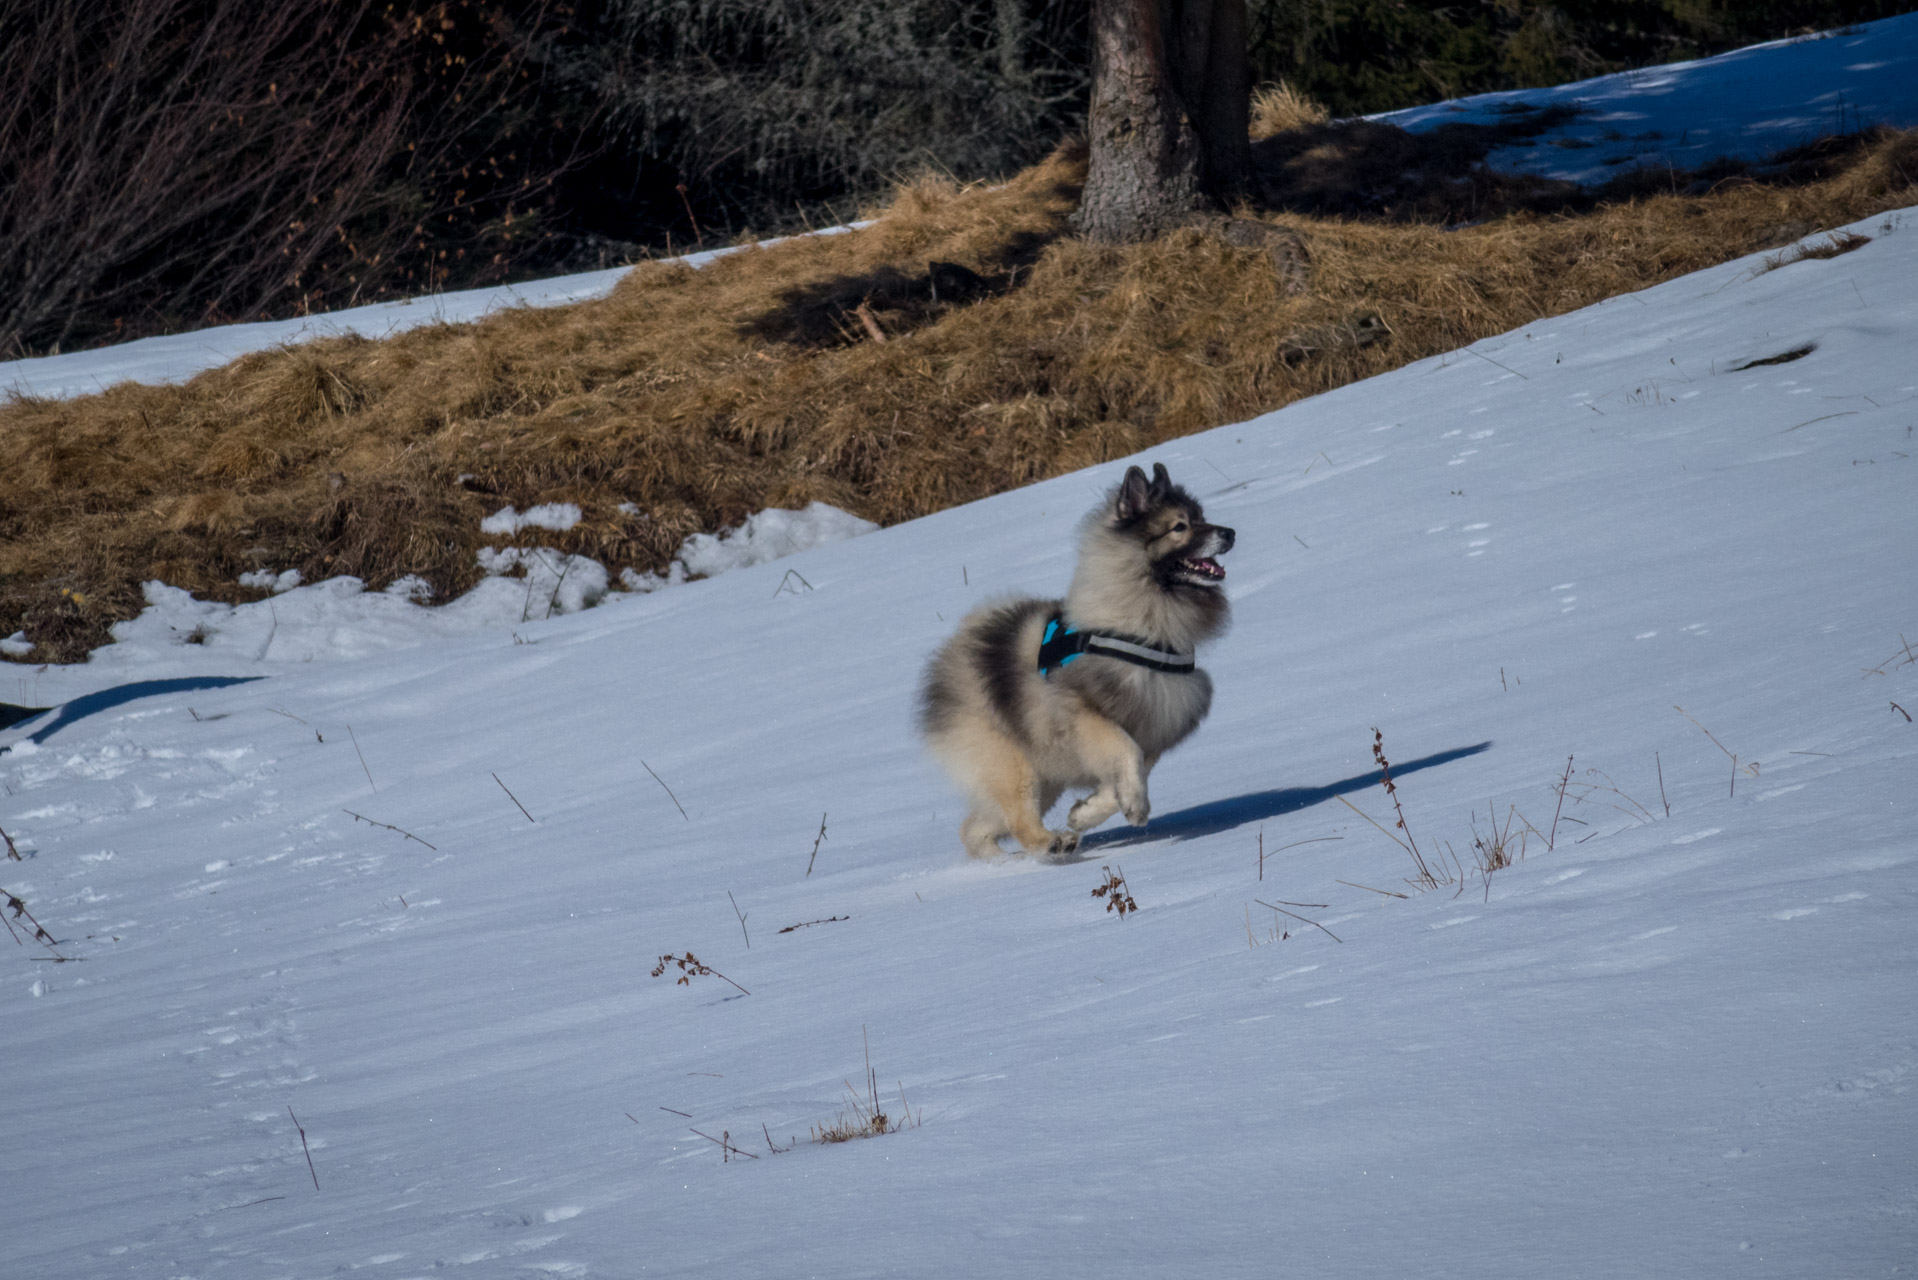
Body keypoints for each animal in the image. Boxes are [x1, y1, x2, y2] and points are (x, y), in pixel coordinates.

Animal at [920, 462, 1235, 859]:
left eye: (1201, 518)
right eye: (1180, 526)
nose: (1230, 533)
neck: (1138, 625)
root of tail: (953, 657)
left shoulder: (1154, 723)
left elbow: (1125, 776)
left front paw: (1085, 813)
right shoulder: (1084, 718)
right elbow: (1127, 754)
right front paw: (1135, 806)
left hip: (1046, 774)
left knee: (975, 829)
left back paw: (1001, 862)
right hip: (1016, 765)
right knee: (1017, 820)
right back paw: (1051, 844)